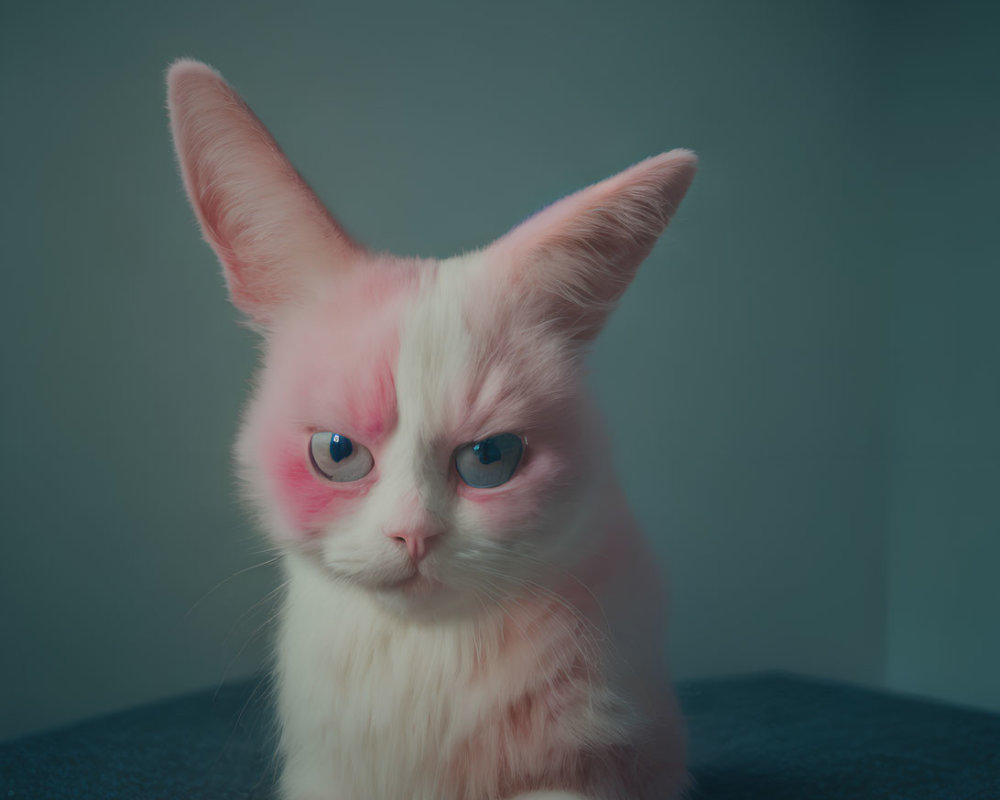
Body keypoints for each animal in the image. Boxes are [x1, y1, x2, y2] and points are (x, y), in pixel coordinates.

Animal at [168, 57, 696, 800]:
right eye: (337, 454)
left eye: (490, 457)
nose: (413, 534)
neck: (427, 658)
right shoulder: (324, 774)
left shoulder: (602, 764)